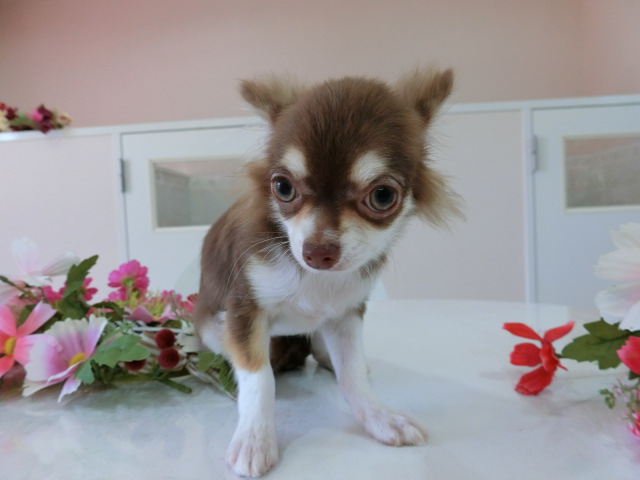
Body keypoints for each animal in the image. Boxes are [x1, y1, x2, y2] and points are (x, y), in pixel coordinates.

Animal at [193, 67, 459, 477]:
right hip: (210, 327)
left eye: (383, 196)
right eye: (283, 187)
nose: (317, 252)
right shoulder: (243, 310)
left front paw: (380, 417)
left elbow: (352, 374)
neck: (318, 282)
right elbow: (259, 379)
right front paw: (254, 438)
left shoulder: (346, 314)